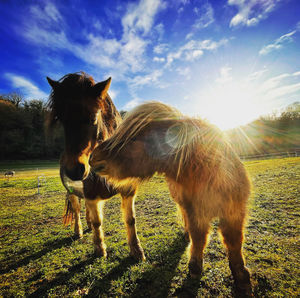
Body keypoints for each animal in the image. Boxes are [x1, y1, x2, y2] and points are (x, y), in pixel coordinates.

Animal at [46, 72, 144, 258]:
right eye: (61, 120)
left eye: (92, 117)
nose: (74, 170)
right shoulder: (91, 194)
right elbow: (98, 221)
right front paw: (100, 249)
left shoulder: (128, 190)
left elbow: (130, 219)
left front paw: (137, 250)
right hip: (71, 192)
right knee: (77, 209)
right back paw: (79, 231)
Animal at [90, 101, 252, 294]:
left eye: (135, 137)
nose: (93, 157)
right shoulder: (196, 212)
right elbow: (199, 238)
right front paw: (195, 268)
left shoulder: (234, 213)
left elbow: (234, 243)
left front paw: (242, 278)